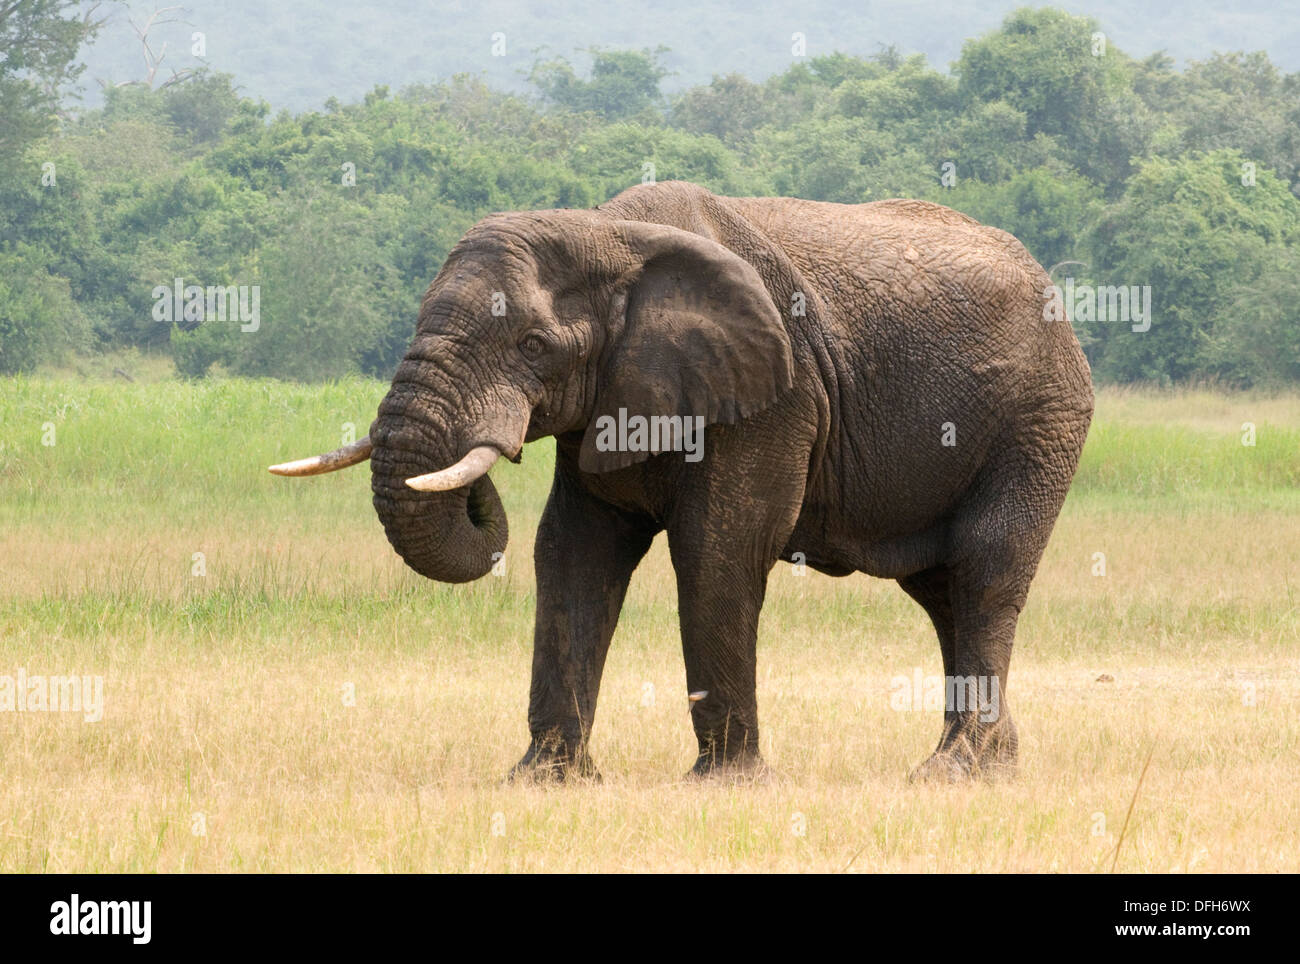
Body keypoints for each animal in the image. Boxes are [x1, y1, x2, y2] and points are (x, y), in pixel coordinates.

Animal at [274, 179, 1097, 784]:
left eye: (534, 345)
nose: (484, 469)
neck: (607, 233)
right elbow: (571, 552)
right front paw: (543, 781)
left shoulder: (773, 399)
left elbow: (719, 551)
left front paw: (728, 784)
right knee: (941, 591)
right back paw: (993, 767)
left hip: (1040, 419)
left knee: (985, 570)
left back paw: (952, 771)